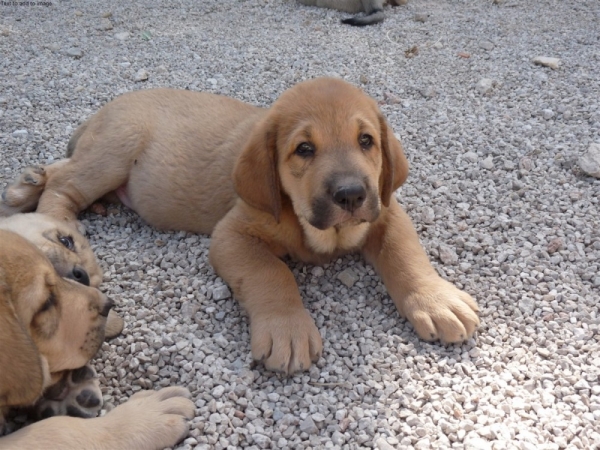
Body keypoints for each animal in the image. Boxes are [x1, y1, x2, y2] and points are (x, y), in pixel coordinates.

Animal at [0, 79, 478, 374]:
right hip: (115, 149)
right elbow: (272, 273)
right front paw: (287, 329)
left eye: (366, 141)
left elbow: (405, 252)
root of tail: (103, 111)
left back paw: (27, 185)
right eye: (304, 149)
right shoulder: (232, 236)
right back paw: (61, 233)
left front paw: (436, 300)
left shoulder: (385, 211)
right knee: (64, 185)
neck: (319, 230)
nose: (350, 195)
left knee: (61, 169)